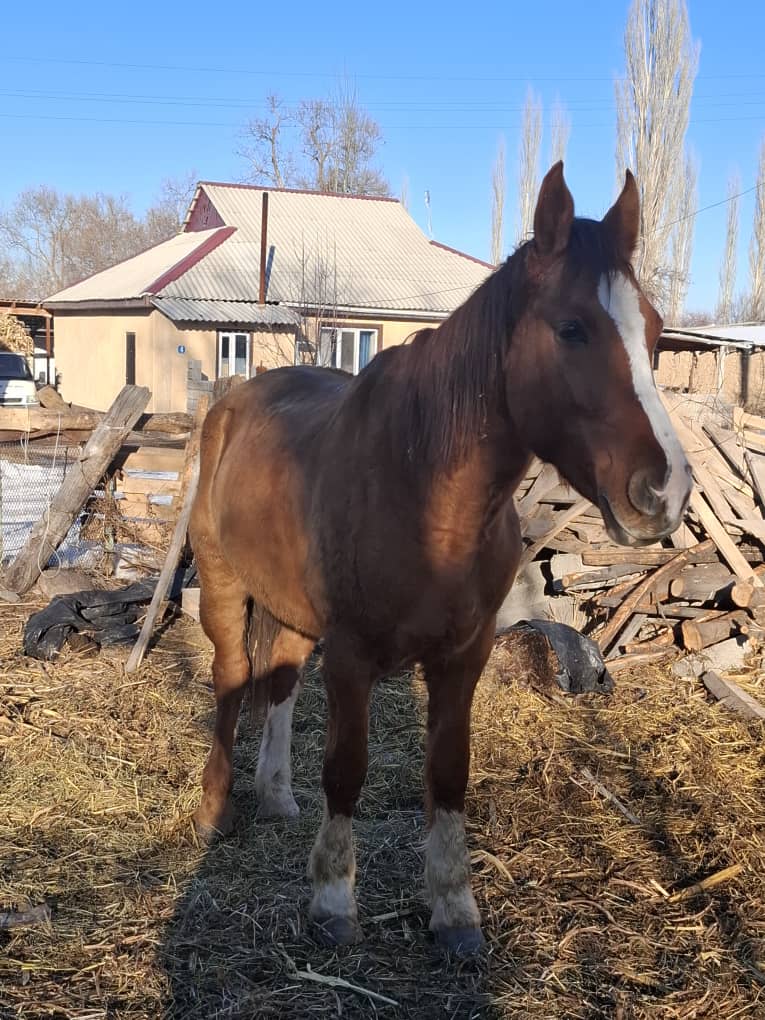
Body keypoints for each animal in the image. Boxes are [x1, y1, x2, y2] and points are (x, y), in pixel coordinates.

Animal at [189, 162, 692, 956]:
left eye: (653, 330)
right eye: (570, 327)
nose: (664, 490)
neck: (428, 492)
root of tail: (238, 400)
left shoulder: (464, 656)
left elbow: (449, 773)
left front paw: (455, 910)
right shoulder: (352, 656)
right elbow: (347, 769)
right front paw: (333, 900)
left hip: (293, 609)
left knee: (280, 680)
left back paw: (275, 796)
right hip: (222, 585)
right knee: (234, 680)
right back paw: (218, 808)